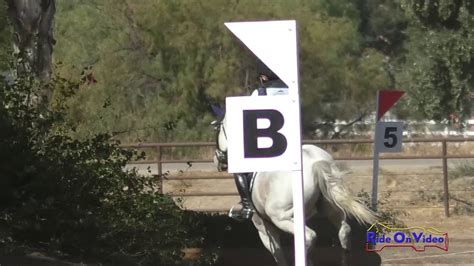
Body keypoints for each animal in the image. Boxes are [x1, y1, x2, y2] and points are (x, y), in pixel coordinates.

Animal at [213, 112, 376, 266]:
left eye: (218, 130)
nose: (216, 160)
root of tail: (314, 162)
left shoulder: (264, 228)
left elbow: (278, 255)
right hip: (331, 208)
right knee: (344, 231)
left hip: (282, 218)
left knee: (309, 237)